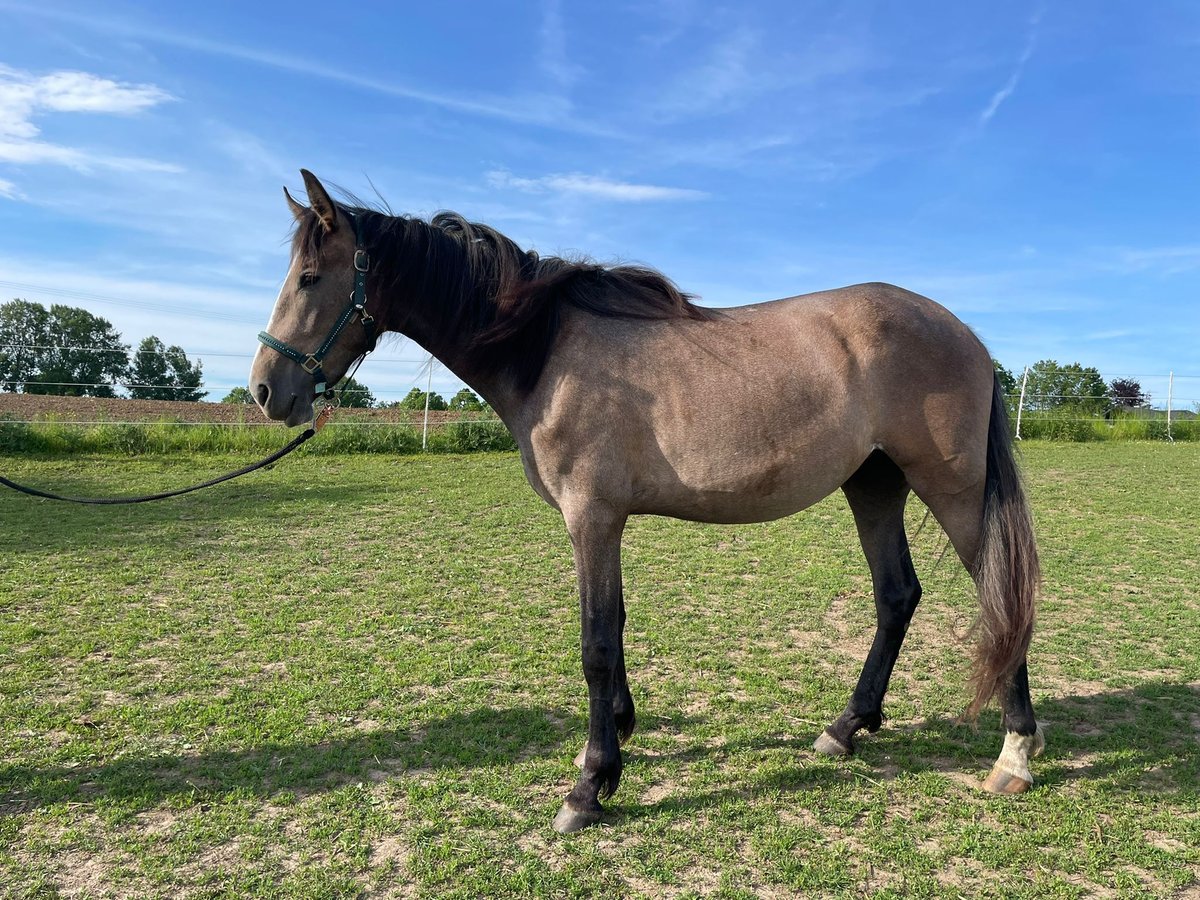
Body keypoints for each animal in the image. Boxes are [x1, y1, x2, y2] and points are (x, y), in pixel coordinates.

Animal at [250, 170, 1041, 840]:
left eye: (311, 277)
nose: (264, 391)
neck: (545, 348)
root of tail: (966, 335)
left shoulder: (591, 517)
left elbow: (596, 643)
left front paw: (590, 788)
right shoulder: (603, 523)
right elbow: (618, 625)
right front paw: (617, 739)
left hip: (952, 491)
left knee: (1000, 598)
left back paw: (1013, 755)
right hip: (873, 487)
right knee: (897, 595)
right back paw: (845, 727)